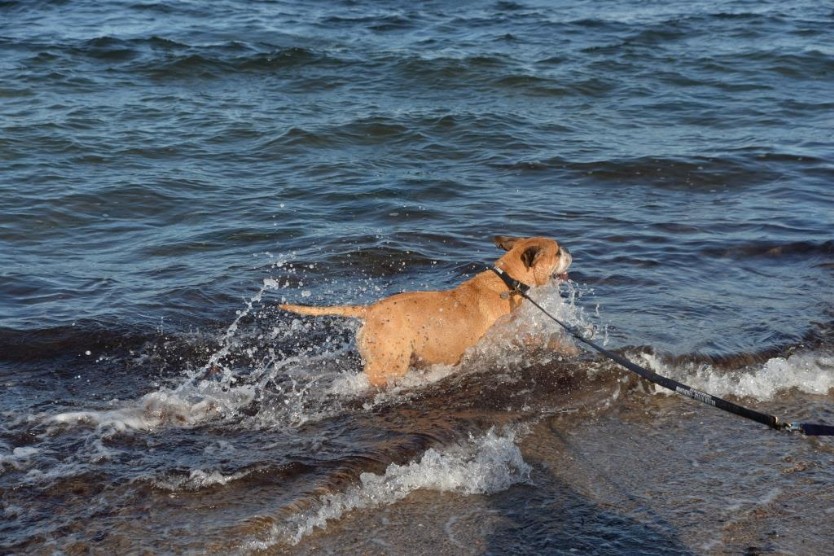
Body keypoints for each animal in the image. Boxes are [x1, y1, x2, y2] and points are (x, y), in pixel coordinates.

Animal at [280, 235, 572, 386]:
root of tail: (370, 311)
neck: (508, 281)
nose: (572, 254)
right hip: (388, 364)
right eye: (558, 253)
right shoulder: (508, 334)